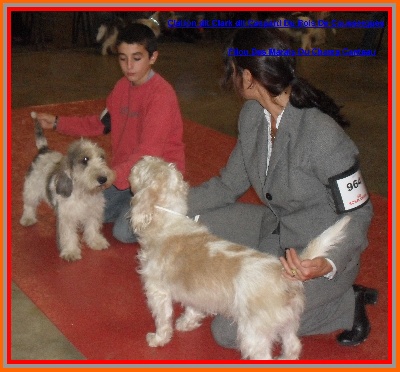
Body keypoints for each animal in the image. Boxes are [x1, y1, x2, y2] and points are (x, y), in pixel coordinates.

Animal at [19, 112, 115, 260]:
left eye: (102, 158)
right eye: (85, 159)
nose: (103, 179)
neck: (83, 192)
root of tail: (44, 150)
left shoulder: (93, 211)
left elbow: (92, 227)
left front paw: (96, 242)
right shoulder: (67, 217)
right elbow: (69, 235)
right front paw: (71, 252)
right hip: (31, 189)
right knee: (29, 205)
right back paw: (28, 218)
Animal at [129, 155, 350, 358]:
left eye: (143, 168)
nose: (140, 159)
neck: (168, 222)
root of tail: (282, 272)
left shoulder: (157, 291)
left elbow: (162, 319)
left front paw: (158, 339)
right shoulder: (195, 293)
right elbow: (193, 308)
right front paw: (186, 323)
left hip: (254, 334)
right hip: (288, 323)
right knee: (293, 346)